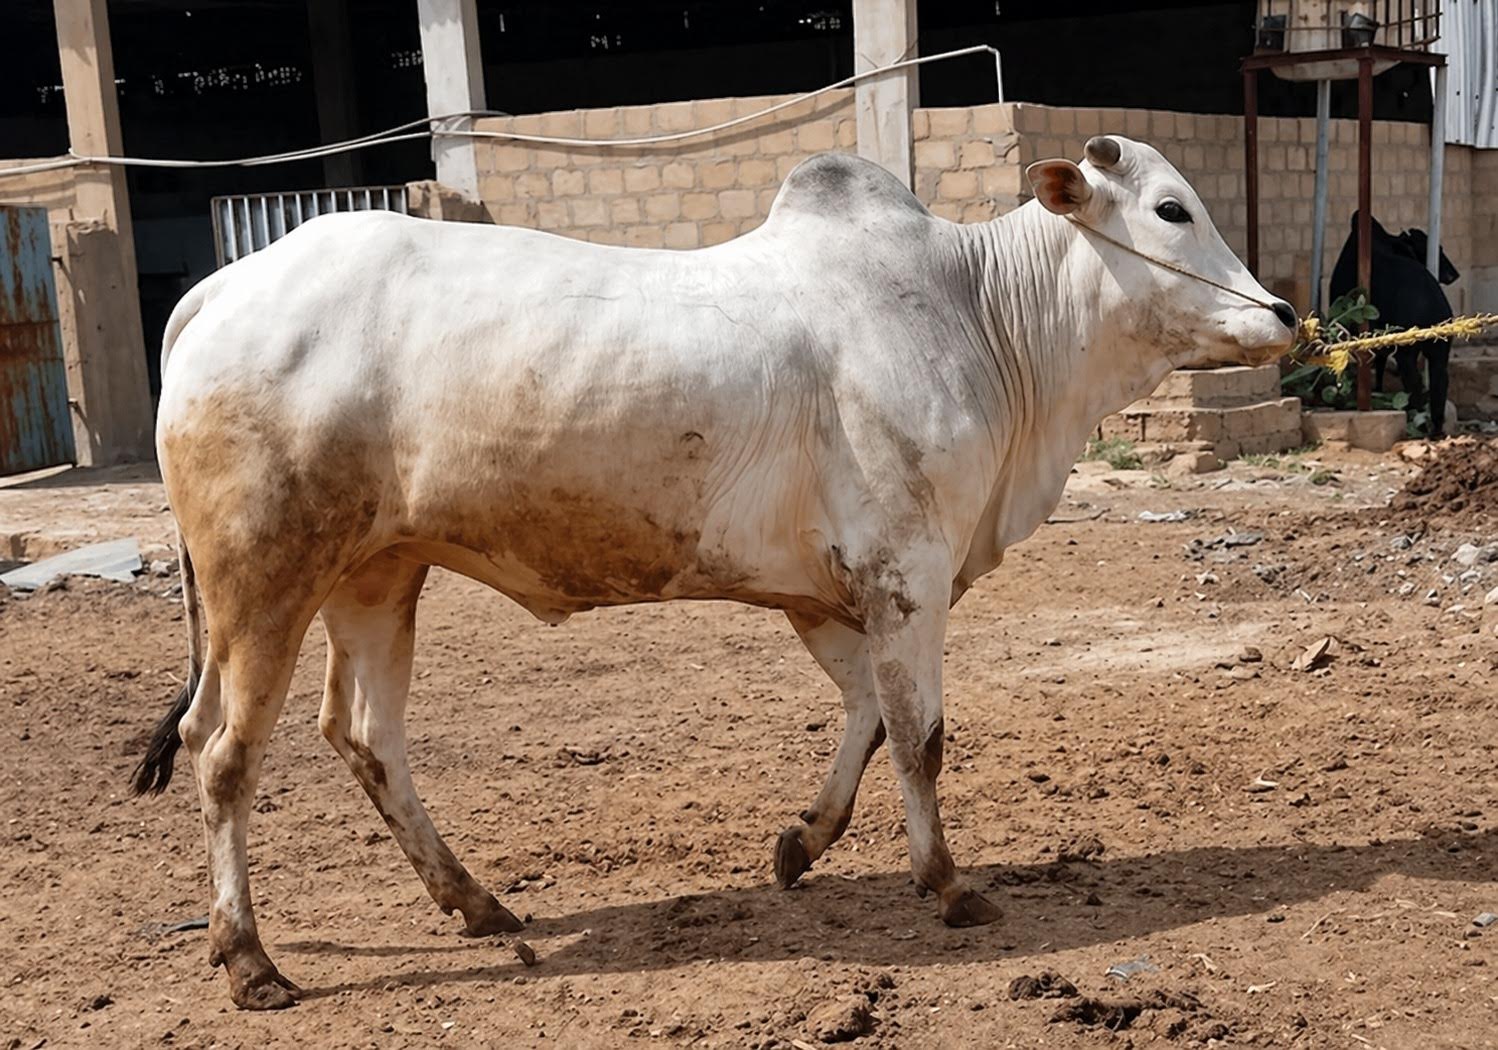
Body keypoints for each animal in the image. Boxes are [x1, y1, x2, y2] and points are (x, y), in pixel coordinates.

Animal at [131, 135, 1296, 1009]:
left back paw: (475, 903)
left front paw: (799, 845)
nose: (1283, 316)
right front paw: (948, 886)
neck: (979, 315)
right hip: (262, 582)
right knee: (224, 758)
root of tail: (219, 292)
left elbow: (867, 721)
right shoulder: (907, 579)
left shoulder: (831, 596)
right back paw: (251, 964)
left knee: (364, 736)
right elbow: (919, 738)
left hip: (378, 574)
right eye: (1170, 210)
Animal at [1328, 213, 1458, 436]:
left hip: (1406, 353)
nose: (1453, 274)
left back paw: (1416, 420)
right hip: (1439, 352)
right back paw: (1435, 429)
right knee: (1439, 384)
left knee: (1415, 386)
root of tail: (1432, 308)